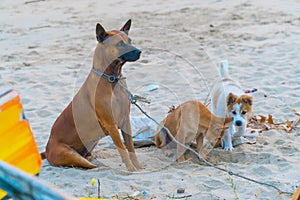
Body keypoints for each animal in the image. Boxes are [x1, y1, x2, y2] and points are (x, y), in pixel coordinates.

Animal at [42, 19, 143, 171]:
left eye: (130, 40)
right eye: (120, 44)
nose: (139, 52)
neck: (112, 79)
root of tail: (47, 148)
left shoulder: (126, 120)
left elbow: (130, 147)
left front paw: (137, 166)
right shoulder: (111, 124)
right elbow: (123, 150)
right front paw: (131, 169)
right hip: (70, 154)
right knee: (88, 165)